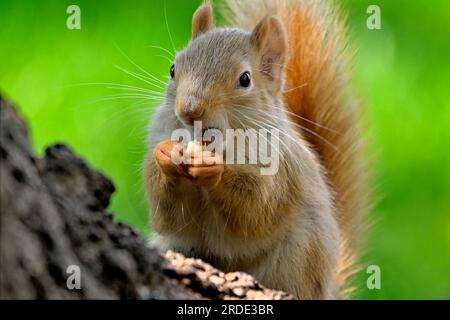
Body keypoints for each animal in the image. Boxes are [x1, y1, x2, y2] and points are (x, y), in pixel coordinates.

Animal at [144, 0, 370, 300]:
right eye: (172, 69)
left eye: (245, 79)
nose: (190, 110)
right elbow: (167, 217)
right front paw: (164, 155)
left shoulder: (279, 172)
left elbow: (254, 210)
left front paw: (213, 169)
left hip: (299, 255)